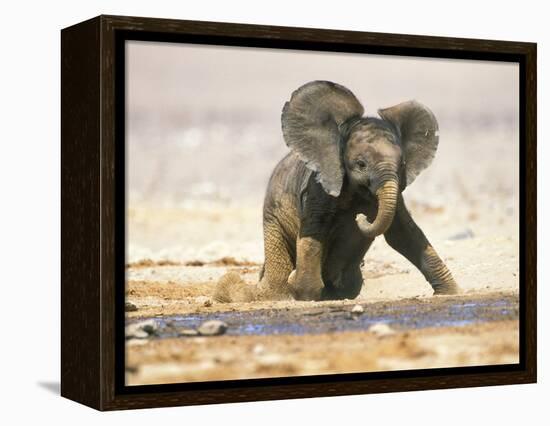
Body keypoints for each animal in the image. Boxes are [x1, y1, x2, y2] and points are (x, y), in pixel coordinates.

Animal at [216, 80, 462, 302]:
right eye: (361, 164)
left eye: (401, 164)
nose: (362, 217)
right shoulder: (318, 187)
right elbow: (314, 232)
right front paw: (304, 292)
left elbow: (403, 234)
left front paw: (451, 293)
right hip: (272, 218)